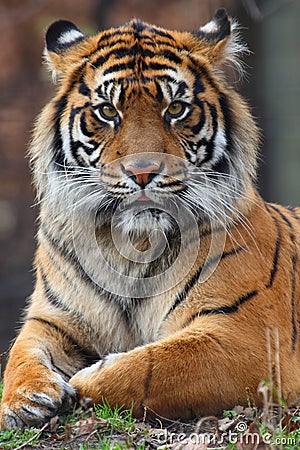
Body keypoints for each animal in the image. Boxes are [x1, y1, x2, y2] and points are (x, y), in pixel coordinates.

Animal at [0, 7, 300, 428]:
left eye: (175, 109)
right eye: (108, 111)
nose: (142, 172)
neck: (133, 245)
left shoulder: (250, 338)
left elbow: (155, 366)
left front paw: (89, 378)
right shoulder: (53, 318)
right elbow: (20, 352)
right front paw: (25, 399)